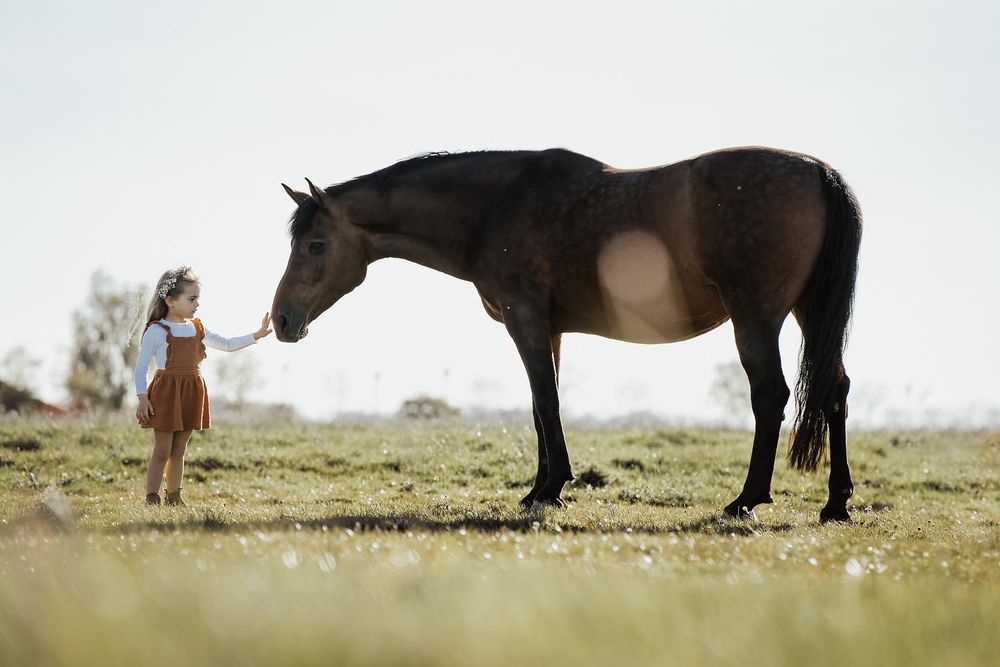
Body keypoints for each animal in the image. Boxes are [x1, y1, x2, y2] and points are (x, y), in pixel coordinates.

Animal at [270, 147, 862, 523]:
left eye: (316, 244)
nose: (281, 320)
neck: (495, 207)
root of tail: (819, 172)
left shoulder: (526, 321)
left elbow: (547, 403)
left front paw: (551, 489)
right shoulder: (549, 330)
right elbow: (540, 407)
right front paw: (538, 489)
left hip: (755, 317)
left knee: (771, 395)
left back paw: (746, 500)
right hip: (807, 314)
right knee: (834, 390)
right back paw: (835, 504)